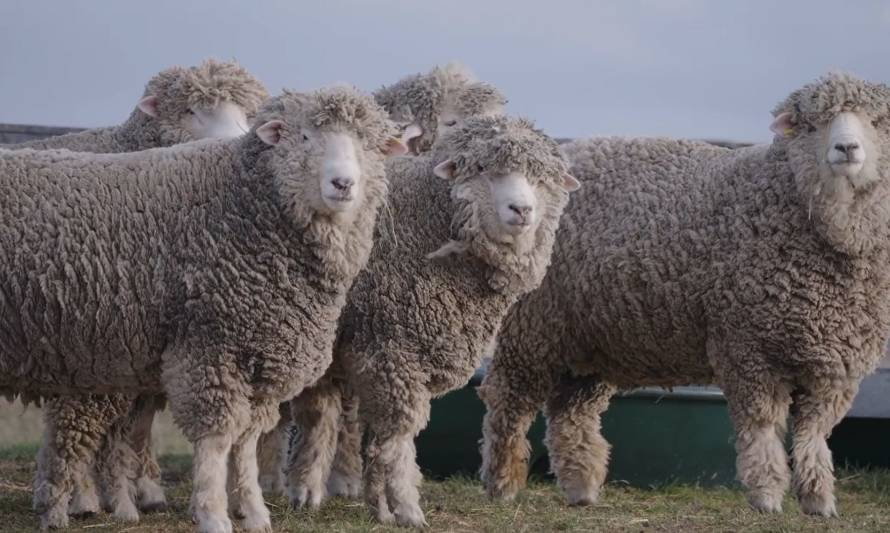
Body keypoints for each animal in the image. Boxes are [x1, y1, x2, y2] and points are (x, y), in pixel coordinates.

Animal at [280, 116, 580, 524]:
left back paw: (306, 490)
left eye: (543, 178)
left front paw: (381, 506)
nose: (521, 210)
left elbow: (381, 437)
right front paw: (407, 508)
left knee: (317, 414)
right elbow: (398, 437)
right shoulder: (392, 350)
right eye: (482, 168)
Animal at [478, 72, 890, 516]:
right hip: (532, 326)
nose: (846, 149)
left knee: (570, 413)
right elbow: (762, 426)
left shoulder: (834, 366)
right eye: (813, 124)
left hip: (591, 338)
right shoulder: (748, 348)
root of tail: (565, 157)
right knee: (508, 401)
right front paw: (766, 495)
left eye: (877, 122)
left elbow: (814, 434)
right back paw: (501, 483)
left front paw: (818, 500)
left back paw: (580, 487)